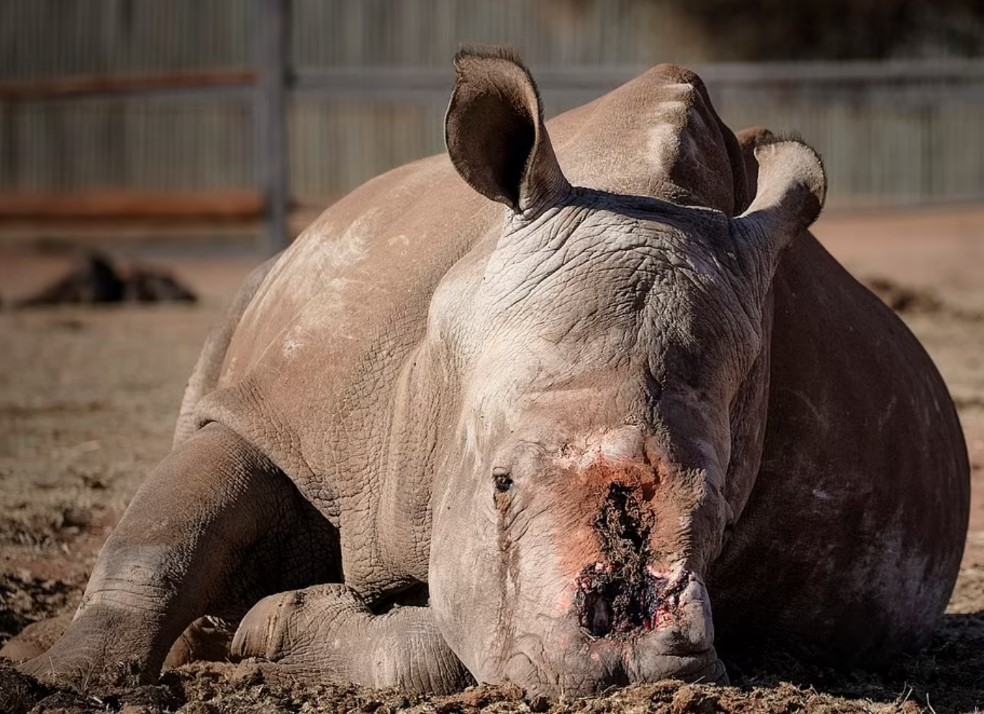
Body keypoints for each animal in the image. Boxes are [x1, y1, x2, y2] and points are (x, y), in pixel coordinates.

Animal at [1, 47, 968, 692]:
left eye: (727, 518)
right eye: (499, 483)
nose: (636, 664)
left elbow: (430, 645)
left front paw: (266, 625)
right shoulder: (284, 412)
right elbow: (165, 532)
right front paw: (58, 679)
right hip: (268, 287)